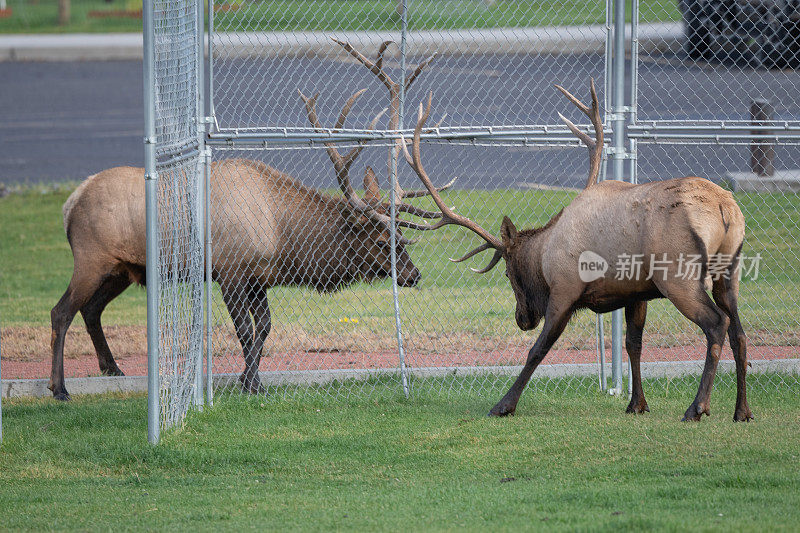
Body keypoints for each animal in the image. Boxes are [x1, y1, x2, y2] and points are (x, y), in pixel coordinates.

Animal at [48, 41, 450, 400]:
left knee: (91, 309)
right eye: (382, 241)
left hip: (121, 267)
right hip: (91, 257)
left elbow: (265, 327)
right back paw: (60, 388)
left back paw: (111, 368)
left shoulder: (259, 277)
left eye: (400, 233)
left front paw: (251, 380)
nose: (413, 274)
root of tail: (71, 201)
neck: (282, 234)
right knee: (61, 311)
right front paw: (248, 384)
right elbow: (243, 329)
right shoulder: (230, 270)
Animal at [404, 83, 752, 422]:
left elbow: (538, 350)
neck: (545, 253)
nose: (521, 319)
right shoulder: (636, 291)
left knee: (716, 324)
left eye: (507, 272)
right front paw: (636, 403)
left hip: (678, 275)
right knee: (738, 332)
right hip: (729, 271)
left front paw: (503, 405)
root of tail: (726, 208)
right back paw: (741, 411)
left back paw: (698, 407)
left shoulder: (564, 290)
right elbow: (633, 344)